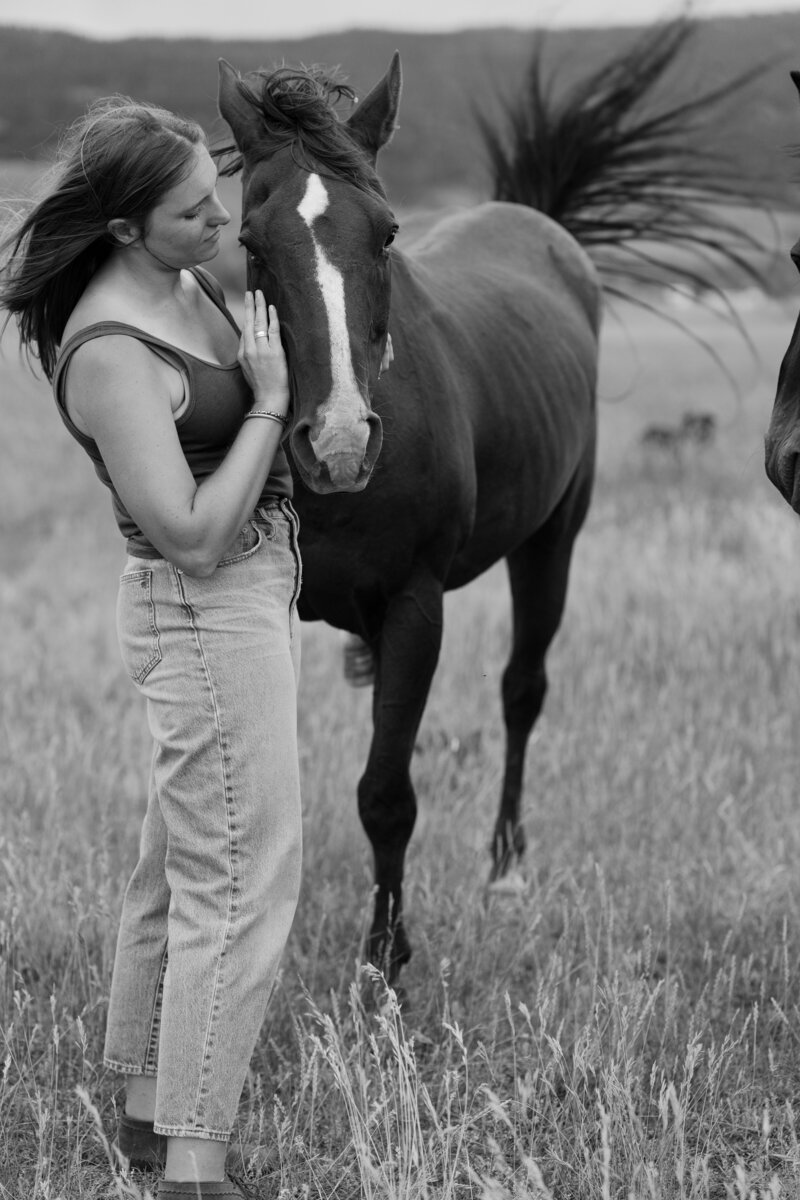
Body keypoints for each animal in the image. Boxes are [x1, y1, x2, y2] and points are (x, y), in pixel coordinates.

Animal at [219, 23, 767, 979]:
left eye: (388, 232)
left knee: (522, 690)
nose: (339, 442)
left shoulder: (416, 604)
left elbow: (387, 793)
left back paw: (506, 865)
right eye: (251, 238)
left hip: (553, 540)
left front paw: (386, 957)